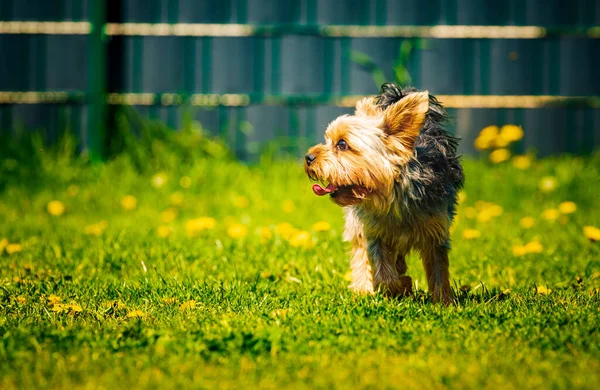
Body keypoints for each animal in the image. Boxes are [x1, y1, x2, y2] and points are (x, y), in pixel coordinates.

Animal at [304, 84, 464, 304]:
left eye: (342, 144)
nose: (308, 157)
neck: (392, 196)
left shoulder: (436, 232)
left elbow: (438, 270)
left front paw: (444, 302)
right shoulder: (374, 234)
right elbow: (384, 274)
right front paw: (402, 285)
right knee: (361, 253)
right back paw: (362, 289)